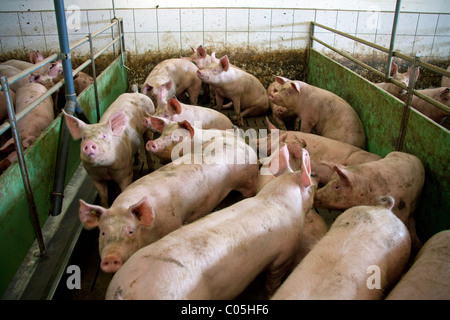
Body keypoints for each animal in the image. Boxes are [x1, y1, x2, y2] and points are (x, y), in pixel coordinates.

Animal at [79, 134, 258, 272]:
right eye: (103, 233)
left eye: (130, 231)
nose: (110, 258)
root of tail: (242, 143)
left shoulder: (173, 222)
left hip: (248, 179)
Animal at [105, 145, 316, 300]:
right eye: (312, 189)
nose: (315, 186)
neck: (276, 198)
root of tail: (123, 290)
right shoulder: (284, 255)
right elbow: (273, 279)